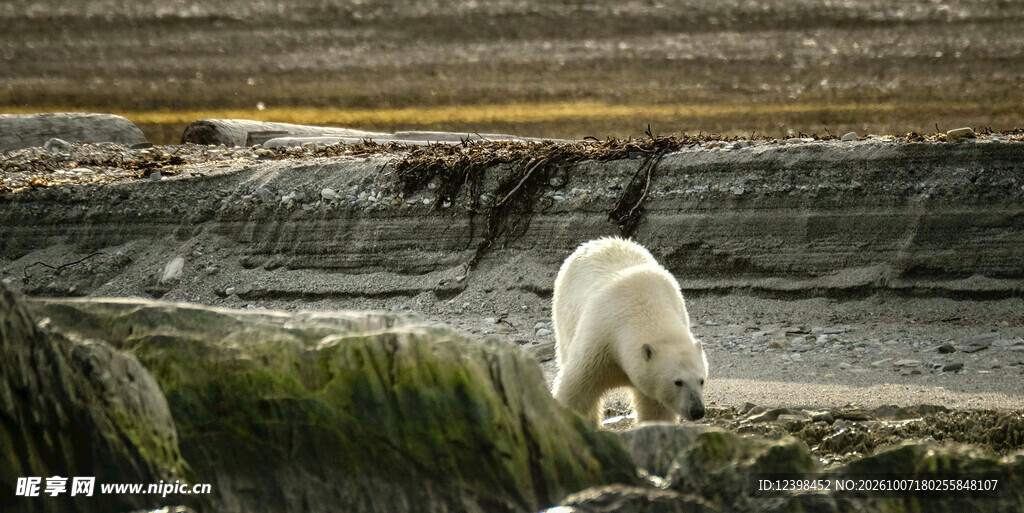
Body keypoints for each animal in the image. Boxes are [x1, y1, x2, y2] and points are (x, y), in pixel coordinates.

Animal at [551, 237, 708, 424]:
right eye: (678, 382)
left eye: (702, 380)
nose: (697, 411)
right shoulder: (600, 340)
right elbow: (576, 386)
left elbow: (656, 410)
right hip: (565, 314)